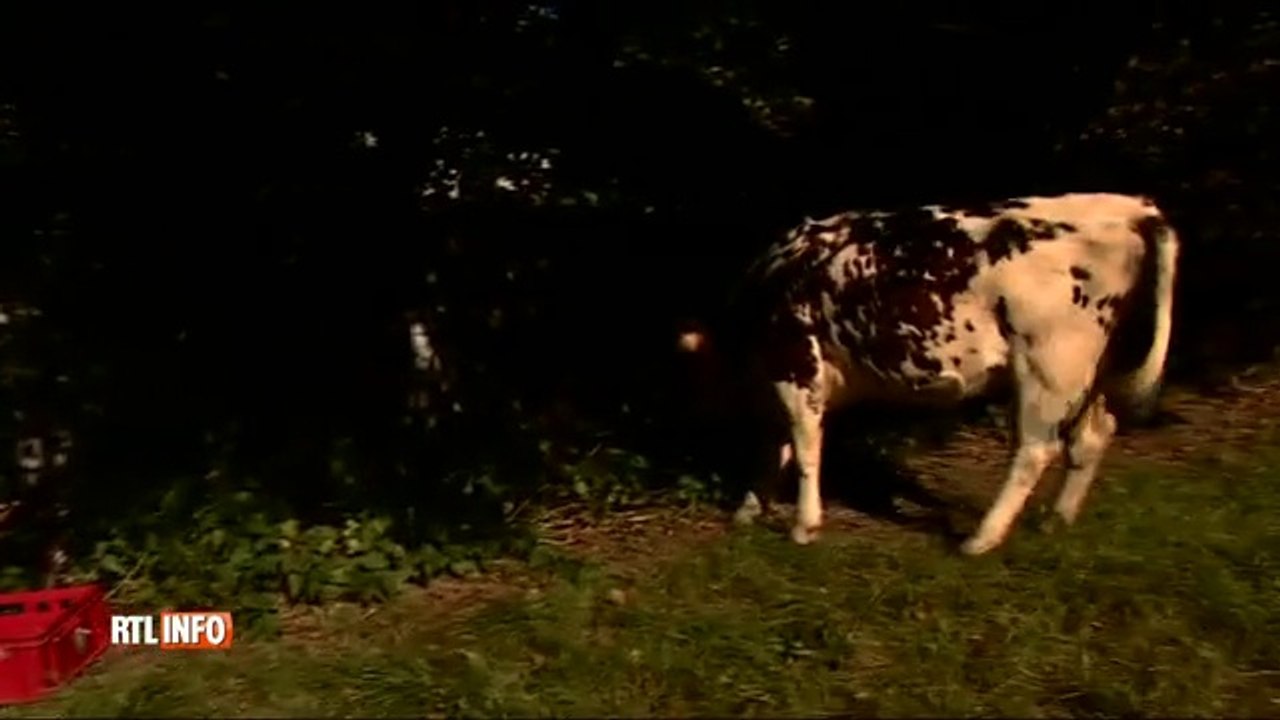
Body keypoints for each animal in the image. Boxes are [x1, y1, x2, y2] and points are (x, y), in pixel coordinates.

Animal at [677, 193, 1179, 555]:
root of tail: (1125, 205)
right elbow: (776, 448)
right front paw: (749, 510)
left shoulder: (798, 366)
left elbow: (803, 449)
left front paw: (803, 526)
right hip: (1090, 371)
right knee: (1092, 435)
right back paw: (1056, 521)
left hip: (1049, 366)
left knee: (1035, 450)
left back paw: (980, 539)